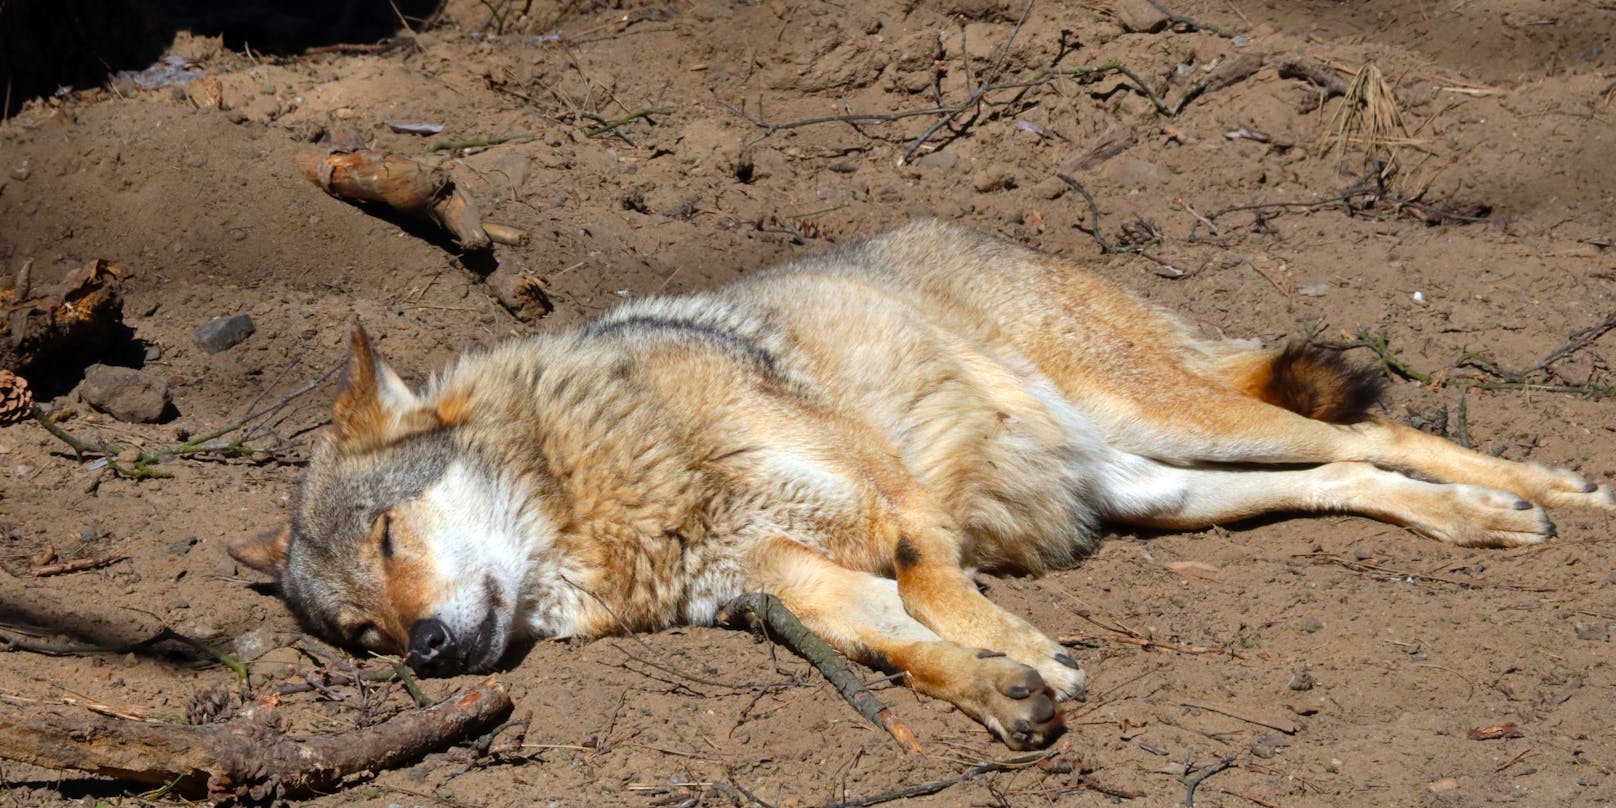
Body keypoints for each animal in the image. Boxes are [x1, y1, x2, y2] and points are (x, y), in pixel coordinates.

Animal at [234, 218, 1609, 746]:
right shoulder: (785, 586)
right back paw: (1480, 521)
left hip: (1181, 419)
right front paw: (1003, 689)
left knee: (1393, 434)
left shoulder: (884, 502)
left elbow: (931, 580)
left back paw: (1547, 491)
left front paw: (1024, 650)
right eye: (360, 632)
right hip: (1162, 489)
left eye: (393, 534)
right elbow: (905, 647)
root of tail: (976, 233)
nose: (423, 655)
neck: (614, 494)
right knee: (1348, 470)